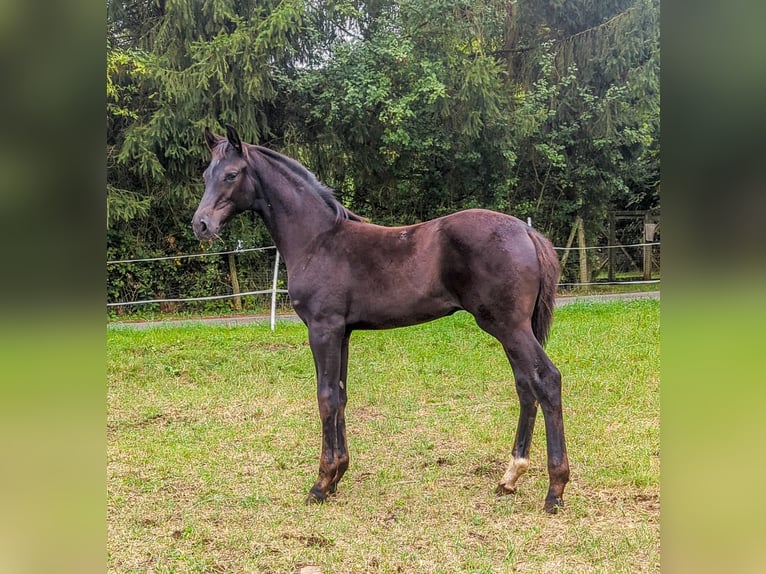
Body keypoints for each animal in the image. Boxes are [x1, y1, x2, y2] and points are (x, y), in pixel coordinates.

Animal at [192, 125, 568, 512]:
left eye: (231, 174)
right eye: (206, 175)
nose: (200, 225)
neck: (317, 240)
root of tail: (527, 232)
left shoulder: (323, 329)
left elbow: (325, 397)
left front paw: (321, 483)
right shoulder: (342, 332)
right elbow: (341, 396)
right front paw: (338, 476)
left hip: (509, 327)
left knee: (547, 380)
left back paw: (554, 490)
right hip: (508, 329)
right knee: (525, 385)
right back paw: (510, 477)